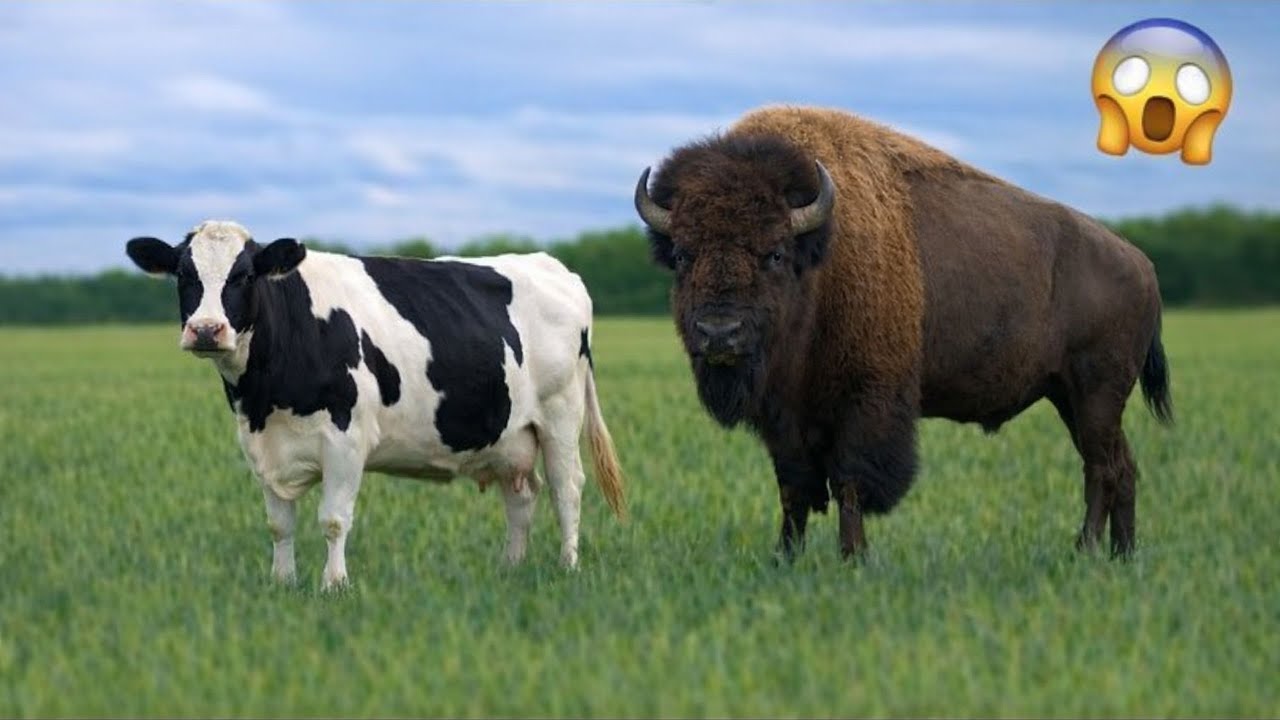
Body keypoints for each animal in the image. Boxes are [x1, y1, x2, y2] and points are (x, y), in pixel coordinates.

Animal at [126, 220, 625, 589]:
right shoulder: (261, 446)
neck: (266, 396)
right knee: (522, 495)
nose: (206, 330)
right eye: (184, 276)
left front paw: (334, 585)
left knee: (566, 488)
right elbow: (279, 525)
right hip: (509, 435)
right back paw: (511, 568)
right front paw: (283, 583)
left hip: (560, 412)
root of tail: (553, 266)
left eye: (244, 275)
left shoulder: (345, 439)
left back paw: (567, 566)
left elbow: (333, 520)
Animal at [633, 105, 1171, 560]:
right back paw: (1123, 555)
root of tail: (1141, 263)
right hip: (1070, 396)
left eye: (775, 253)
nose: (719, 334)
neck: (821, 259)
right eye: (682, 254)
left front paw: (854, 558)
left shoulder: (865, 402)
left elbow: (850, 482)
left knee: (1101, 468)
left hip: (1095, 392)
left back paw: (1085, 551)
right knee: (1122, 466)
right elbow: (793, 489)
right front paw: (784, 558)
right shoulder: (783, 416)